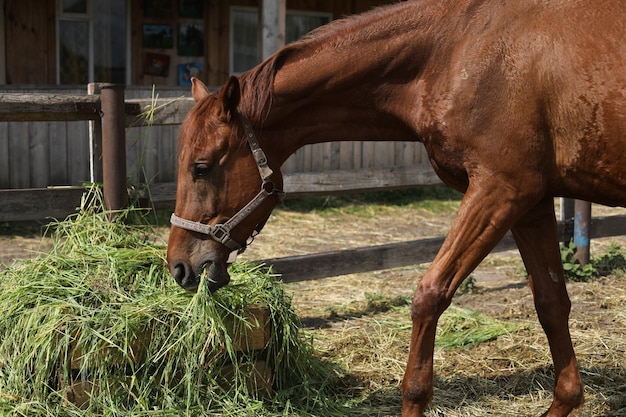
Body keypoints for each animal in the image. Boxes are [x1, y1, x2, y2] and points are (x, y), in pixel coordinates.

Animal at [168, 1, 624, 414]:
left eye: (201, 167)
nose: (178, 266)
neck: (459, 49)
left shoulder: (501, 189)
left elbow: (430, 294)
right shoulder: (532, 202)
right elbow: (551, 302)